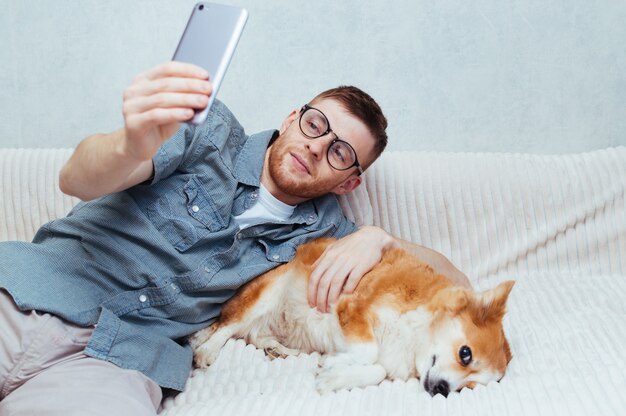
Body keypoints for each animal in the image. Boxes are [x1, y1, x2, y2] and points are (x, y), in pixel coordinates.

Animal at [190, 239, 512, 394]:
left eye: (469, 387)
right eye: (465, 354)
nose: (443, 390)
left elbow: (378, 369)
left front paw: (335, 375)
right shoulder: (352, 307)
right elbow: (370, 353)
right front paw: (335, 364)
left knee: (252, 333)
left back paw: (278, 349)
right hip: (267, 293)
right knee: (227, 326)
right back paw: (206, 348)